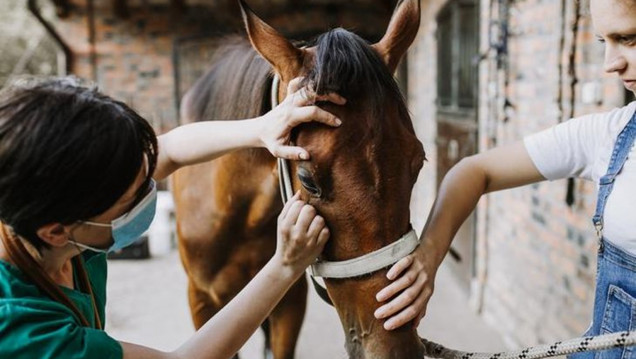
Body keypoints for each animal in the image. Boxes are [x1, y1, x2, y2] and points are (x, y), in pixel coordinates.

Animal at [171, 1, 424, 358]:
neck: (235, 210)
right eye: (308, 180)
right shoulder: (202, 303)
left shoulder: (290, 299)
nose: (396, 349)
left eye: (418, 162)